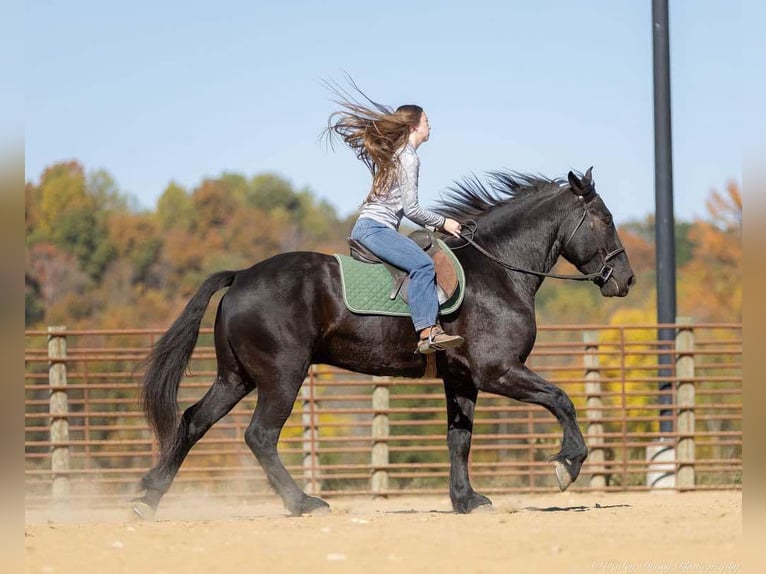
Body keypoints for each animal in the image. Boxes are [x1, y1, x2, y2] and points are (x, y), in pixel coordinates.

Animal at [132, 168, 636, 520]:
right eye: (606, 219)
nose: (626, 280)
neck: (498, 271)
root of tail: (240, 277)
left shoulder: (462, 379)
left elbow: (459, 438)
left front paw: (466, 499)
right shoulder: (498, 370)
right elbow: (561, 399)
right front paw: (568, 465)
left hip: (237, 377)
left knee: (193, 421)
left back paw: (148, 497)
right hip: (281, 376)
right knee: (260, 436)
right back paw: (304, 503)